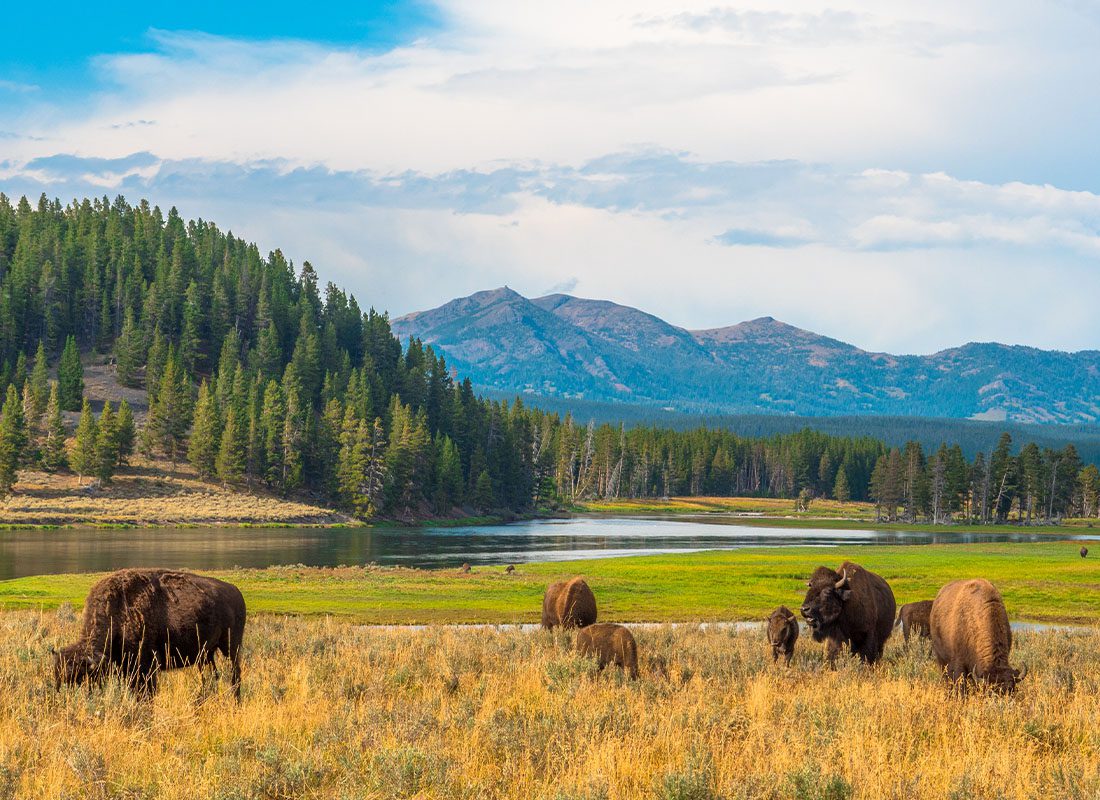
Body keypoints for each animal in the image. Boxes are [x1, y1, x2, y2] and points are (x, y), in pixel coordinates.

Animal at [51, 567, 247, 699]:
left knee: (234, 674)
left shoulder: (147, 666)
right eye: (58, 679)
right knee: (210, 676)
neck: (118, 611)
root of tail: (236, 591)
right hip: (207, 654)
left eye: (80, 678)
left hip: (231, 647)